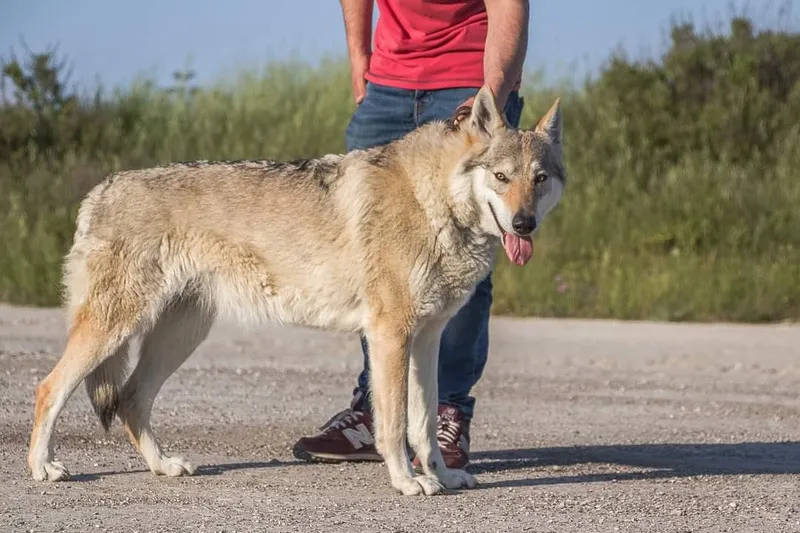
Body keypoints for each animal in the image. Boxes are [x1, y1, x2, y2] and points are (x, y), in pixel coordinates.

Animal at [27, 85, 566, 496]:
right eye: (501, 177)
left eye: (539, 179)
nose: (525, 224)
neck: (432, 201)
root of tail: (99, 190)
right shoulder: (389, 336)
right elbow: (393, 424)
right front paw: (407, 482)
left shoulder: (427, 339)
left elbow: (426, 424)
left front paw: (444, 476)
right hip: (117, 329)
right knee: (50, 387)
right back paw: (43, 468)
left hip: (180, 336)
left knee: (131, 400)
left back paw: (164, 466)